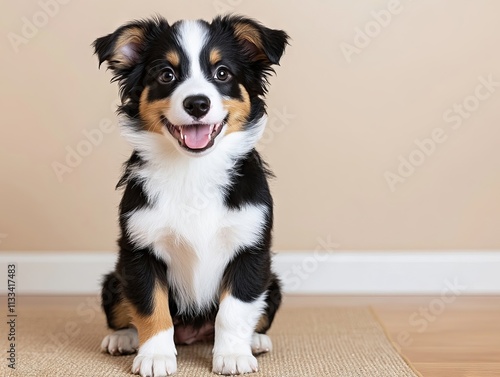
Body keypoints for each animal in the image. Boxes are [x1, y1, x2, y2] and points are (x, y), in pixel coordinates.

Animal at [94, 13, 290, 374]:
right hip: (113, 279)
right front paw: (155, 356)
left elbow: (234, 309)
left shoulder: (250, 248)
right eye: (166, 74)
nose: (197, 103)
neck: (193, 170)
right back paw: (123, 338)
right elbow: (150, 306)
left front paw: (233, 355)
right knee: (125, 311)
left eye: (222, 73)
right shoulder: (140, 249)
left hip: (272, 283)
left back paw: (255, 340)